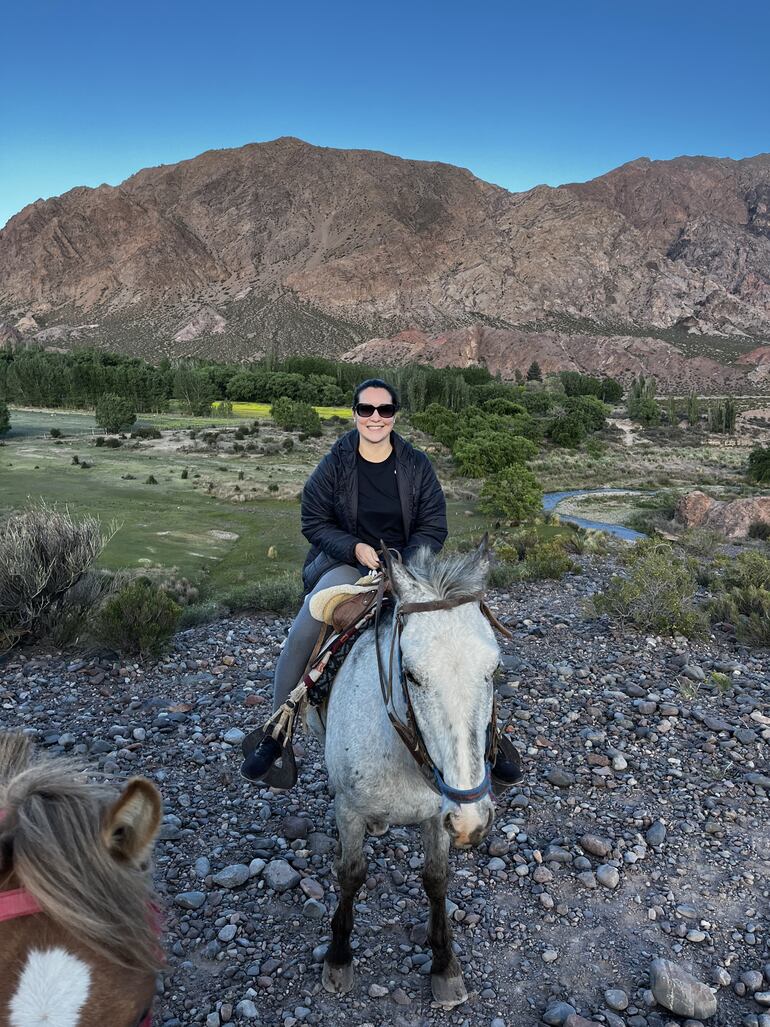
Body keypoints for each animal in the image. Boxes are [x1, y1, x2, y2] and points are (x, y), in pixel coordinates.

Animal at [310, 550, 501, 1006]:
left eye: (494, 669)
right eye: (411, 673)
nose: (471, 823)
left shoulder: (437, 815)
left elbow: (435, 879)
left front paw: (444, 965)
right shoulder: (349, 810)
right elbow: (351, 874)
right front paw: (338, 958)